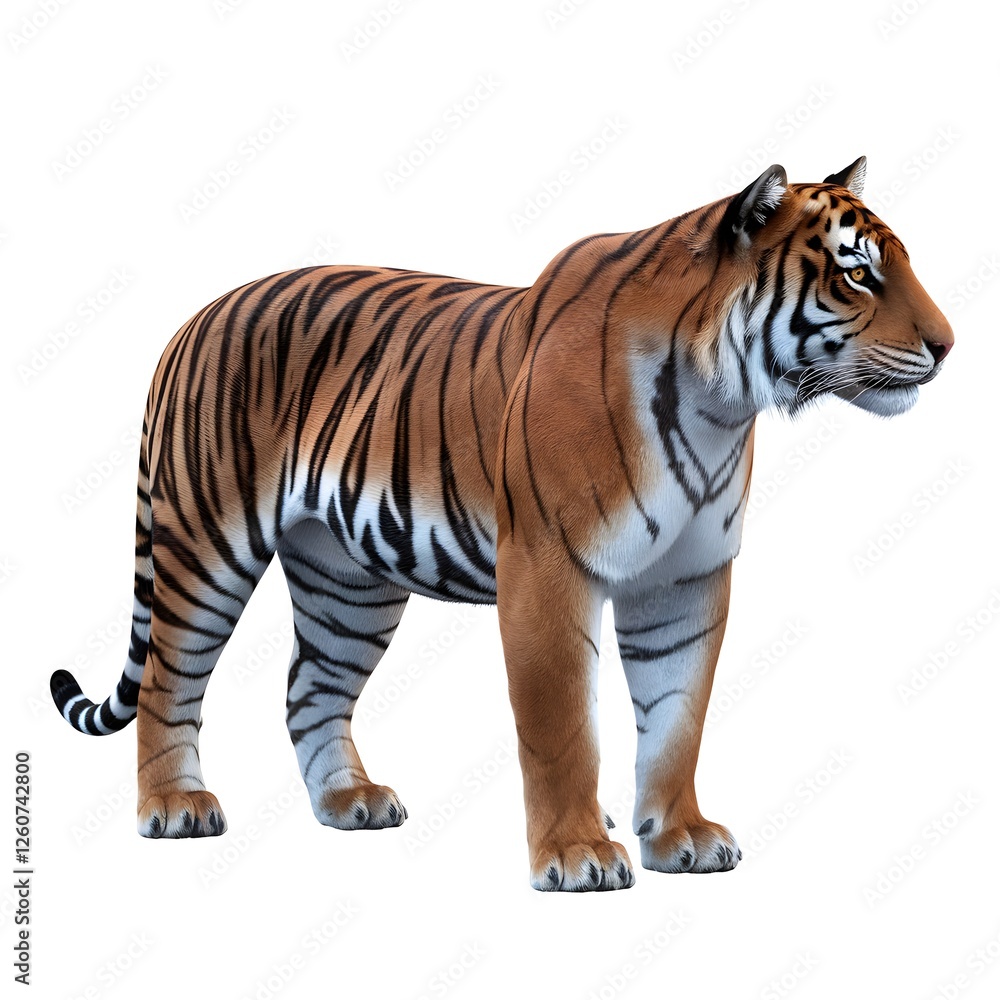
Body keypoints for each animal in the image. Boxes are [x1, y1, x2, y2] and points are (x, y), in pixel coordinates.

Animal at [50, 156, 953, 892]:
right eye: (857, 274)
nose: (949, 346)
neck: (719, 401)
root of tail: (194, 317)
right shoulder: (549, 568)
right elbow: (561, 725)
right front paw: (579, 856)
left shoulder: (687, 581)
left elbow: (678, 717)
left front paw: (681, 838)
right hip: (207, 542)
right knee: (168, 678)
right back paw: (176, 807)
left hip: (348, 581)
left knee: (309, 685)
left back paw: (350, 800)